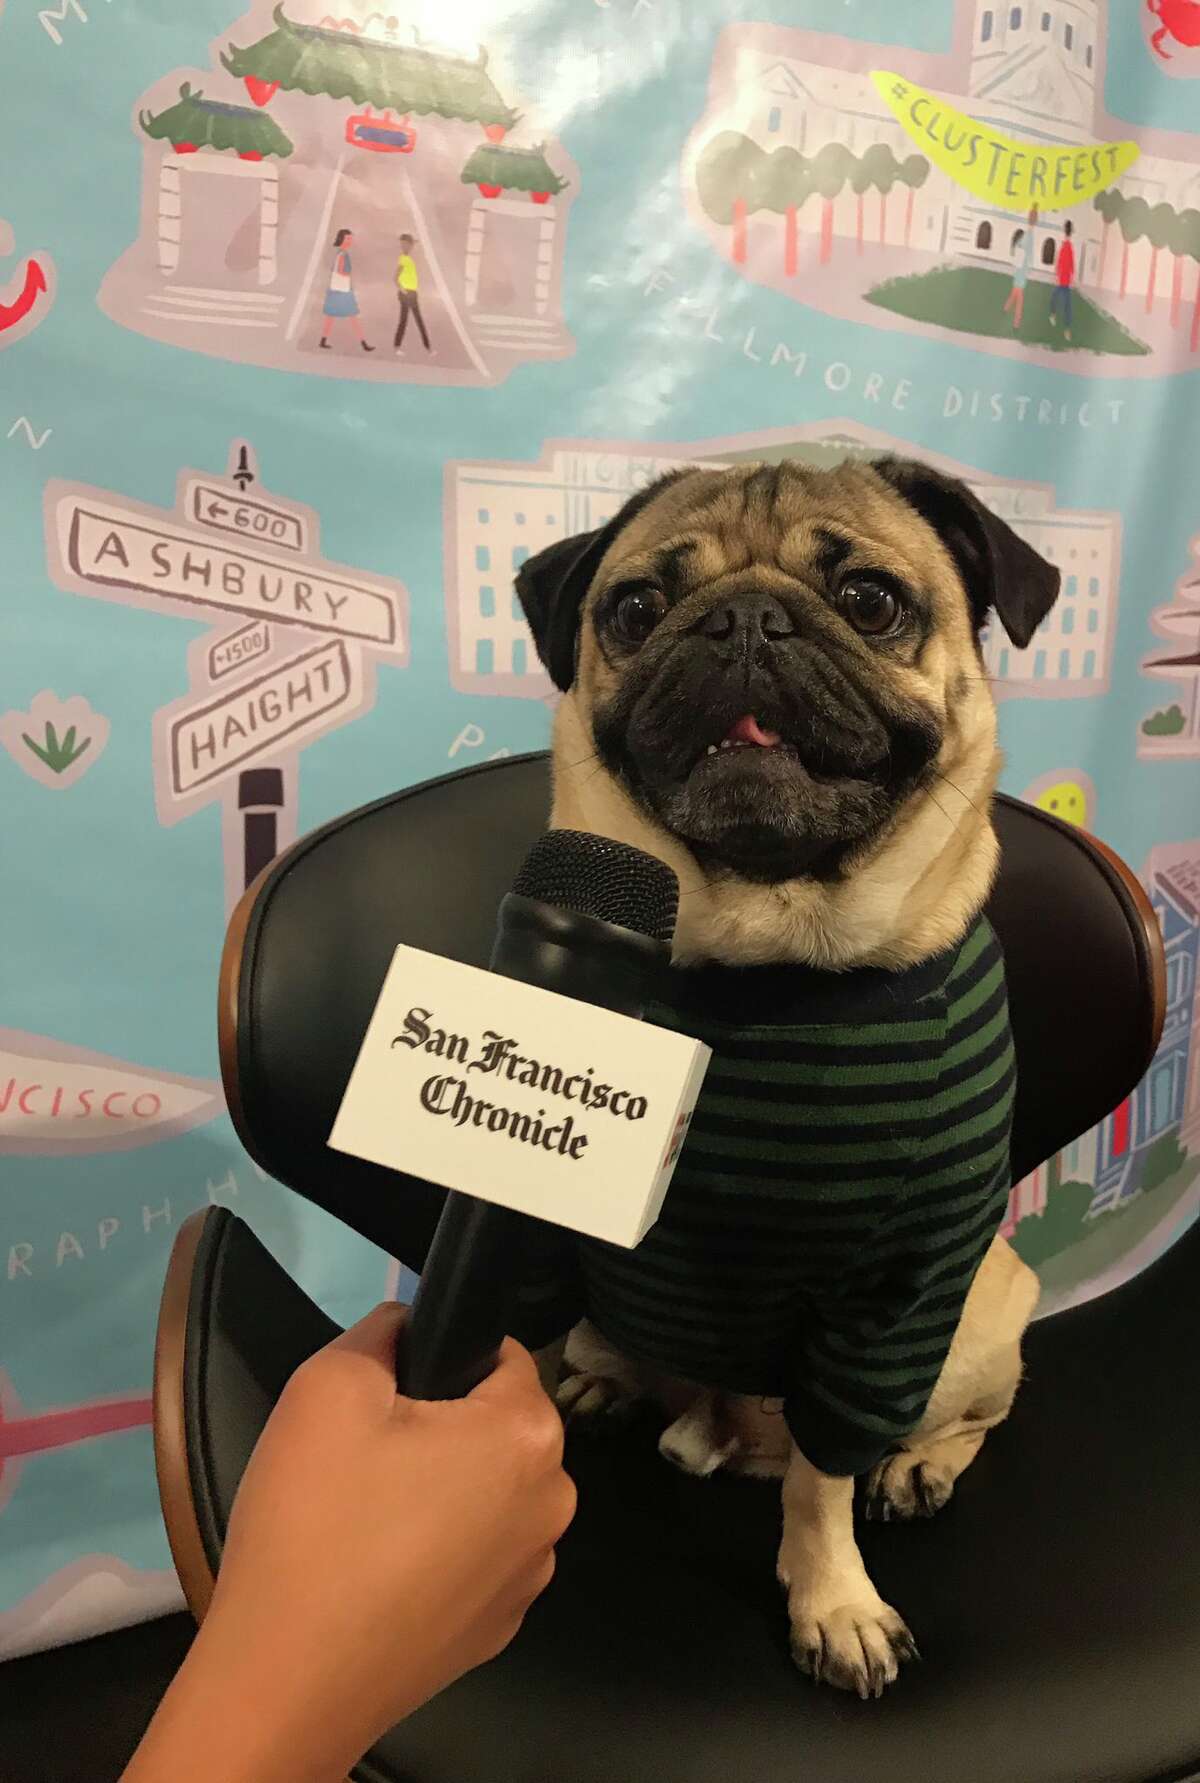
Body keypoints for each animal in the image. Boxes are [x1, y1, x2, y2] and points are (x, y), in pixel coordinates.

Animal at [509, 456, 1055, 1697]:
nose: (746, 620)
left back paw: (916, 1470)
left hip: (979, 1319)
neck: (761, 949)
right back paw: (607, 1377)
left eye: (869, 601)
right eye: (634, 611)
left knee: (944, 1425)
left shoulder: (891, 1293)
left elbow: (823, 1475)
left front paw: (832, 1599)